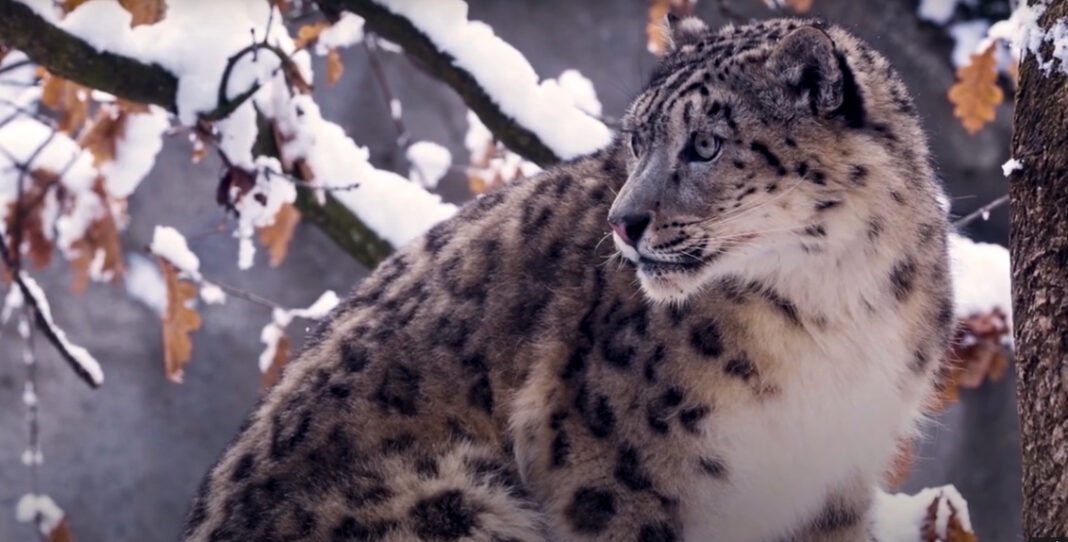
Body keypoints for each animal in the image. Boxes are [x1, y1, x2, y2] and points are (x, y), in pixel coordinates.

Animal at [180, 15, 954, 542]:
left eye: (706, 144)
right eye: (637, 139)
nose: (624, 222)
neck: (836, 310)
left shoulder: (835, 480)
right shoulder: (616, 471)